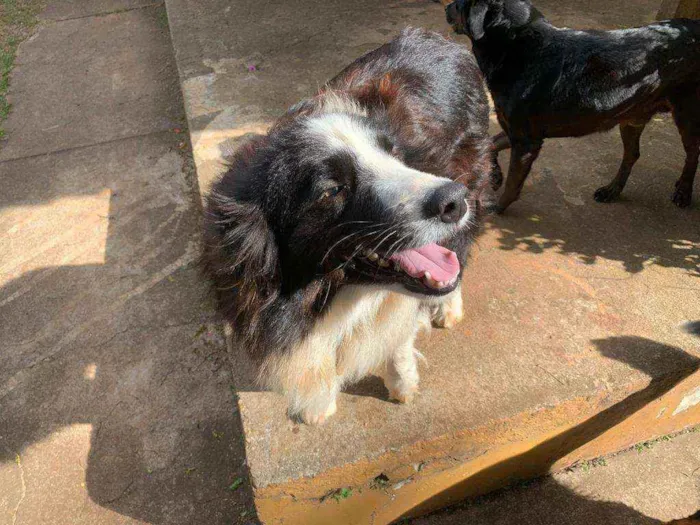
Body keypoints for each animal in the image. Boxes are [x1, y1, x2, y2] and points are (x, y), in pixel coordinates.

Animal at [446, 0, 700, 211]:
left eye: (459, 4)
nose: (446, 7)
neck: (516, 46)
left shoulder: (526, 141)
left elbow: (512, 183)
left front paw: (498, 205)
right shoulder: (516, 131)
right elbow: (490, 143)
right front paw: (496, 174)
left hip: (686, 115)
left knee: (693, 153)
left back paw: (684, 191)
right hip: (632, 117)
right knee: (632, 154)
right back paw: (612, 190)